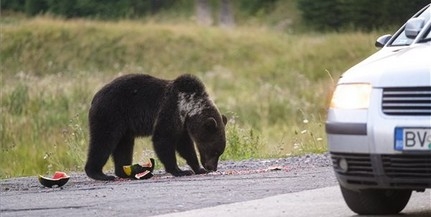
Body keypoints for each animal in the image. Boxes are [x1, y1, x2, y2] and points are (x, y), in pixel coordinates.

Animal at [82, 73, 228, 181]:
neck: (188, 108)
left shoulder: (182, 125)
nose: (212, 167)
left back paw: (125, 172)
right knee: (103, 141)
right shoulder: (170, 109)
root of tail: (94, 97)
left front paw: (198, 169)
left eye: (219, 152)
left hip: (124, 126)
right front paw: (180, 171)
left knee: (123, 147)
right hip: (111, 114)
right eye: (215, 151)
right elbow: (163, 138)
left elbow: (185, 146)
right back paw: (100, 174)